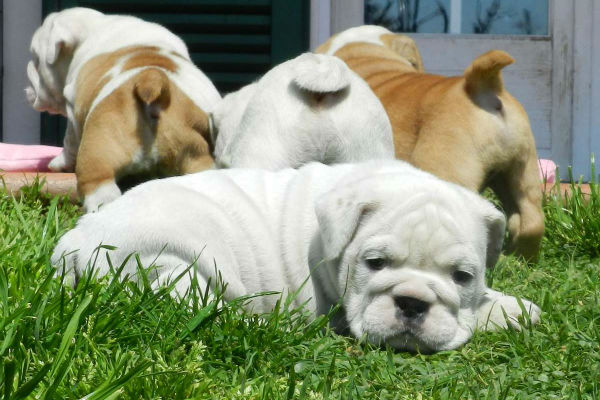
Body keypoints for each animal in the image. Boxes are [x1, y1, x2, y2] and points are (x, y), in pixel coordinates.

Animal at [51, 161, 540, 352]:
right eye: (374, 264)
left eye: (462, 277)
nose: (412, 303)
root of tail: (73, 242)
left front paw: (513, 308)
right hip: (174, 261)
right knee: (192, 309)